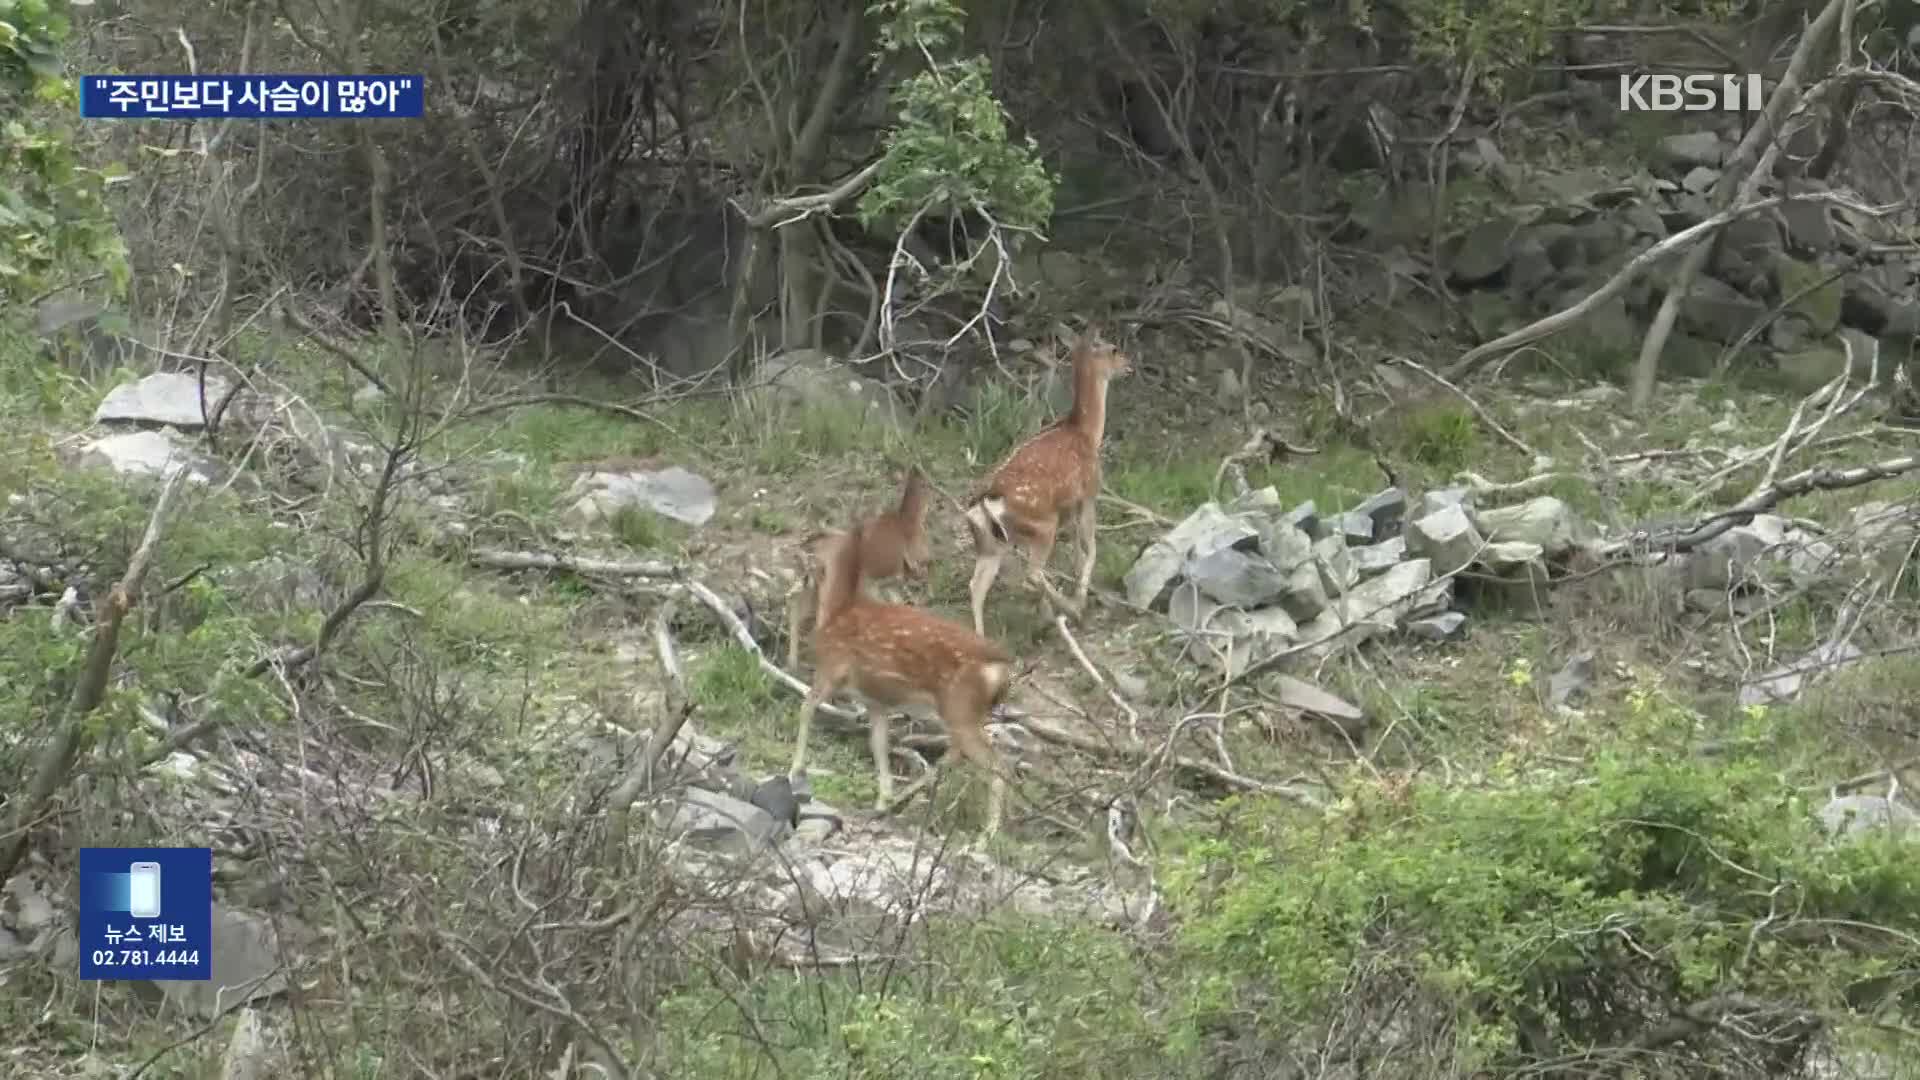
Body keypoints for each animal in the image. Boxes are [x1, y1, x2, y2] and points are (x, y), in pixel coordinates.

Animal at [787, 511, 1021, 834]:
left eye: (818, 540)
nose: (799, 548)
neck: (836, 611)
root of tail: (1002, 669)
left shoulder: (832, 668)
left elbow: (806, 708)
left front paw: (794, 770)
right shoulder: (875, 700)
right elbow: (879, 744)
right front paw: (882, 799)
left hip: (960, 707)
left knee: (998, 765)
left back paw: (987, 833)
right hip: (968, 713)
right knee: (968, 757)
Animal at [967, 328, 1128, 630]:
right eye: (1113, 349)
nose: (1128, 364)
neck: (1087, 434)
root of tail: (986, 501)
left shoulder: (1070, 507)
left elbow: (1078, 550)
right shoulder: (1089, 492)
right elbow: (1091, 550)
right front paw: (1080, 596)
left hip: (993, 540)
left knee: (977, 585)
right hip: (1042, 525)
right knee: (1032, 574)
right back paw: (1070, 610)